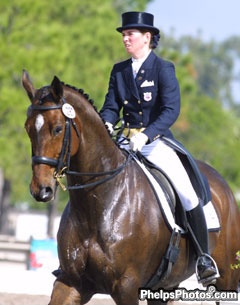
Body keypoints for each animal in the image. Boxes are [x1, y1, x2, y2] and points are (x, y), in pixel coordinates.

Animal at [23, 69, 240, 304]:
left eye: (57, 128)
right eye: (28, 129)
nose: (41, 189)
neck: (99, 204)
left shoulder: (126, 286)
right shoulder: (71, 281)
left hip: (227, 276)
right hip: (163, 286)